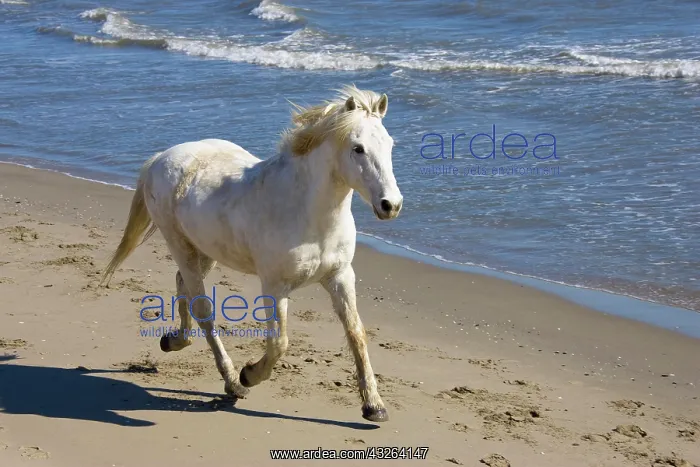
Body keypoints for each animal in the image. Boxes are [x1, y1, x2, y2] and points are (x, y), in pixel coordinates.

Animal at [100, 85, 403, 422]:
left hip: (204, 250)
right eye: (358, 148)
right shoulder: (274, 286)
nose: (391, 205)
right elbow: (279, 342)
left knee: (183, 285)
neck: (306, 212)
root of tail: (160, 157)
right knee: (203, 308)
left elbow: (356, 334)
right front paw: (249, 374)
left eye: (390, 144)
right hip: (179, 244)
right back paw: (233, 382)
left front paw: (374, 406)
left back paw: (174, 340)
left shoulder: (340, 277)